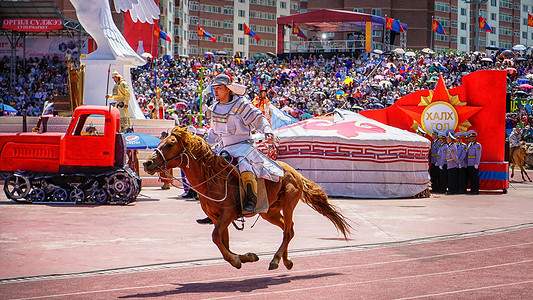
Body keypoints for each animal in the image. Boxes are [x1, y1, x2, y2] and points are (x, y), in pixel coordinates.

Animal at [142, 126, 350, 270]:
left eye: (170, 144)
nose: (147, 163)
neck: (212, 178)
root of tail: (294, 173)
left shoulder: (228, 213)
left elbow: (216, 237)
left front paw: (236, 260)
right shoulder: (217, 218)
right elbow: (223, 242)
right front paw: (247, 257)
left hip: (288, 204)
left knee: (288, 231)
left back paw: (276, 260)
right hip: (269, 212)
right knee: (287, 228)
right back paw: (286, 260)